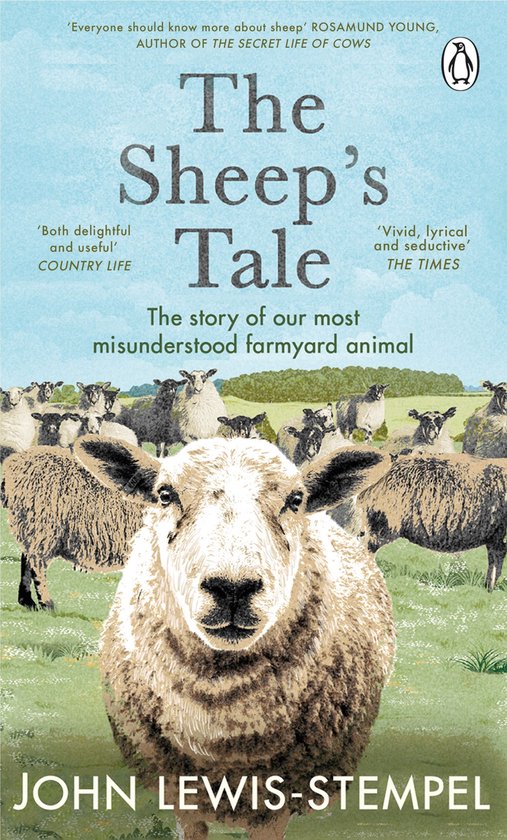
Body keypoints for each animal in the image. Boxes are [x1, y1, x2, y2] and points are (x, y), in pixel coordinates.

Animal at [1, 444, 145, 610]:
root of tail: (14, 464)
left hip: (32, 526)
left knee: (27, 559)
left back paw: (27, 601)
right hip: (43, 526)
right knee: (37, 564)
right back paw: (46, 604)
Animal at [73, 436, 395, 840]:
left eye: (295, 499)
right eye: (165, 494)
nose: (232, 588)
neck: (221, 729)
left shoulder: (278, 798)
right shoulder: (180, 792)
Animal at [336, 452, 507, 592]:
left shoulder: (496, 537)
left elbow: (494, 562)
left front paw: (488, 589)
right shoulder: (499, 536)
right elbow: (496, 562)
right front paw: (490, 589)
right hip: (380, 524)